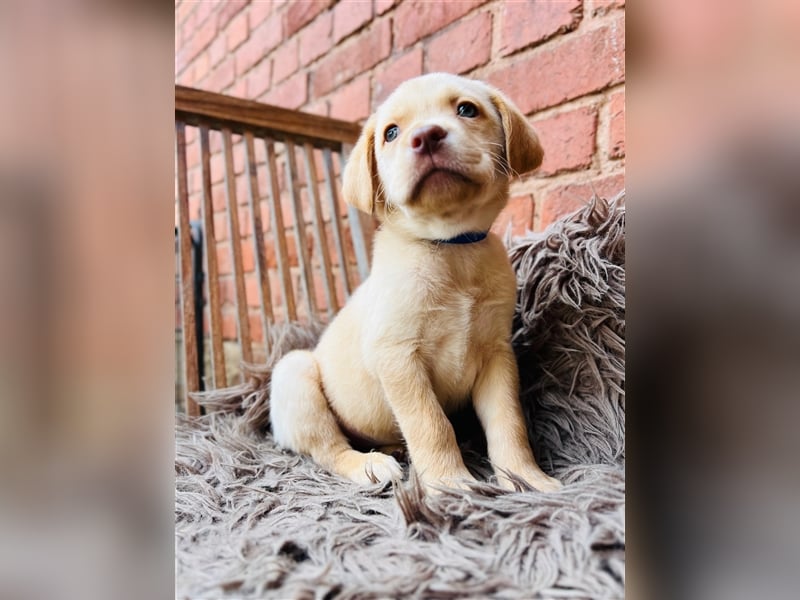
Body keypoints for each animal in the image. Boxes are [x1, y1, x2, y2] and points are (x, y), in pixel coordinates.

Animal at [272, 72, 560, 492]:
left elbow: (509, 423)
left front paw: (524, 478)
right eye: (391, 132)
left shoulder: (497, 354)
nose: (425, 136)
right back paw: (370, 466)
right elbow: (432, 425)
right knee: (329, 449)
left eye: (467, 109)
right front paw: (450, 482)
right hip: (295, 374)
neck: (450, 247)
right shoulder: (398, 356)